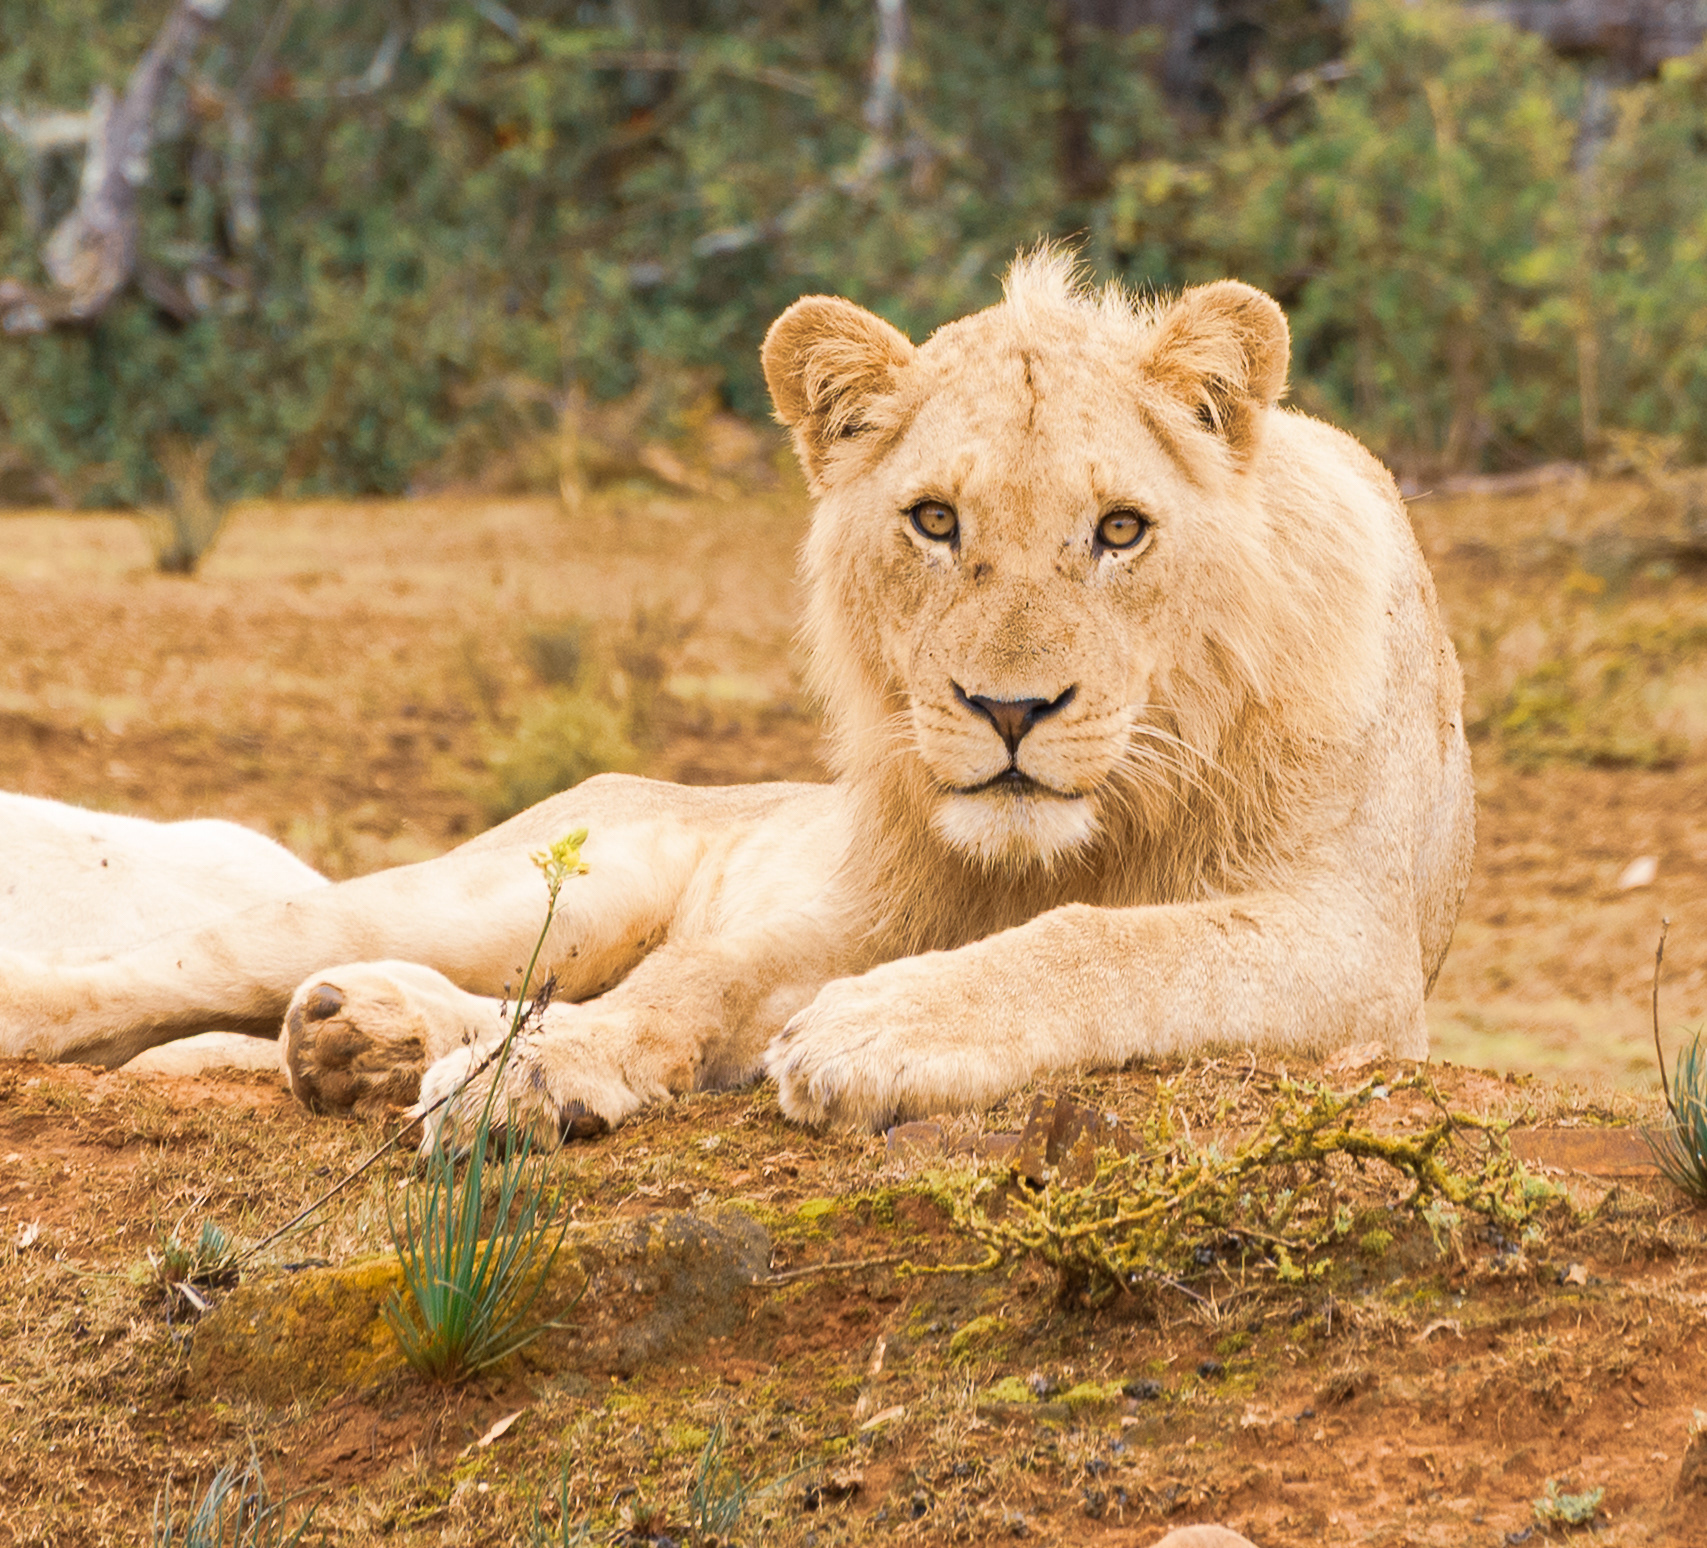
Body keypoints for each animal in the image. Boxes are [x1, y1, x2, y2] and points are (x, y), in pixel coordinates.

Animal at [0, 250, 1473, 1144]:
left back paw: (362, 1038)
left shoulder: (1352, 951)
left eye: (1120, 531)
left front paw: (879, 1026)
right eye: (933, 521)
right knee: (200, 961)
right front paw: (542, 1071)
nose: (1009, 712)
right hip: (521, 886)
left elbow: (1110, 944)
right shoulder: (862, 901)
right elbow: (704, 973)